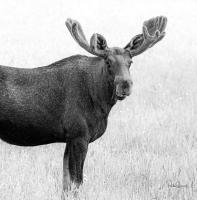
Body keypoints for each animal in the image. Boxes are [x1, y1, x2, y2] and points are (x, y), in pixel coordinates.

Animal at [0, 16, 167, 191]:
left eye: (130, 62)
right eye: (108, 62)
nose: (125, 84)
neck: (101, 104)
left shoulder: (70, 138)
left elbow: (66, 183)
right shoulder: (79, 135)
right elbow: (76, 182)